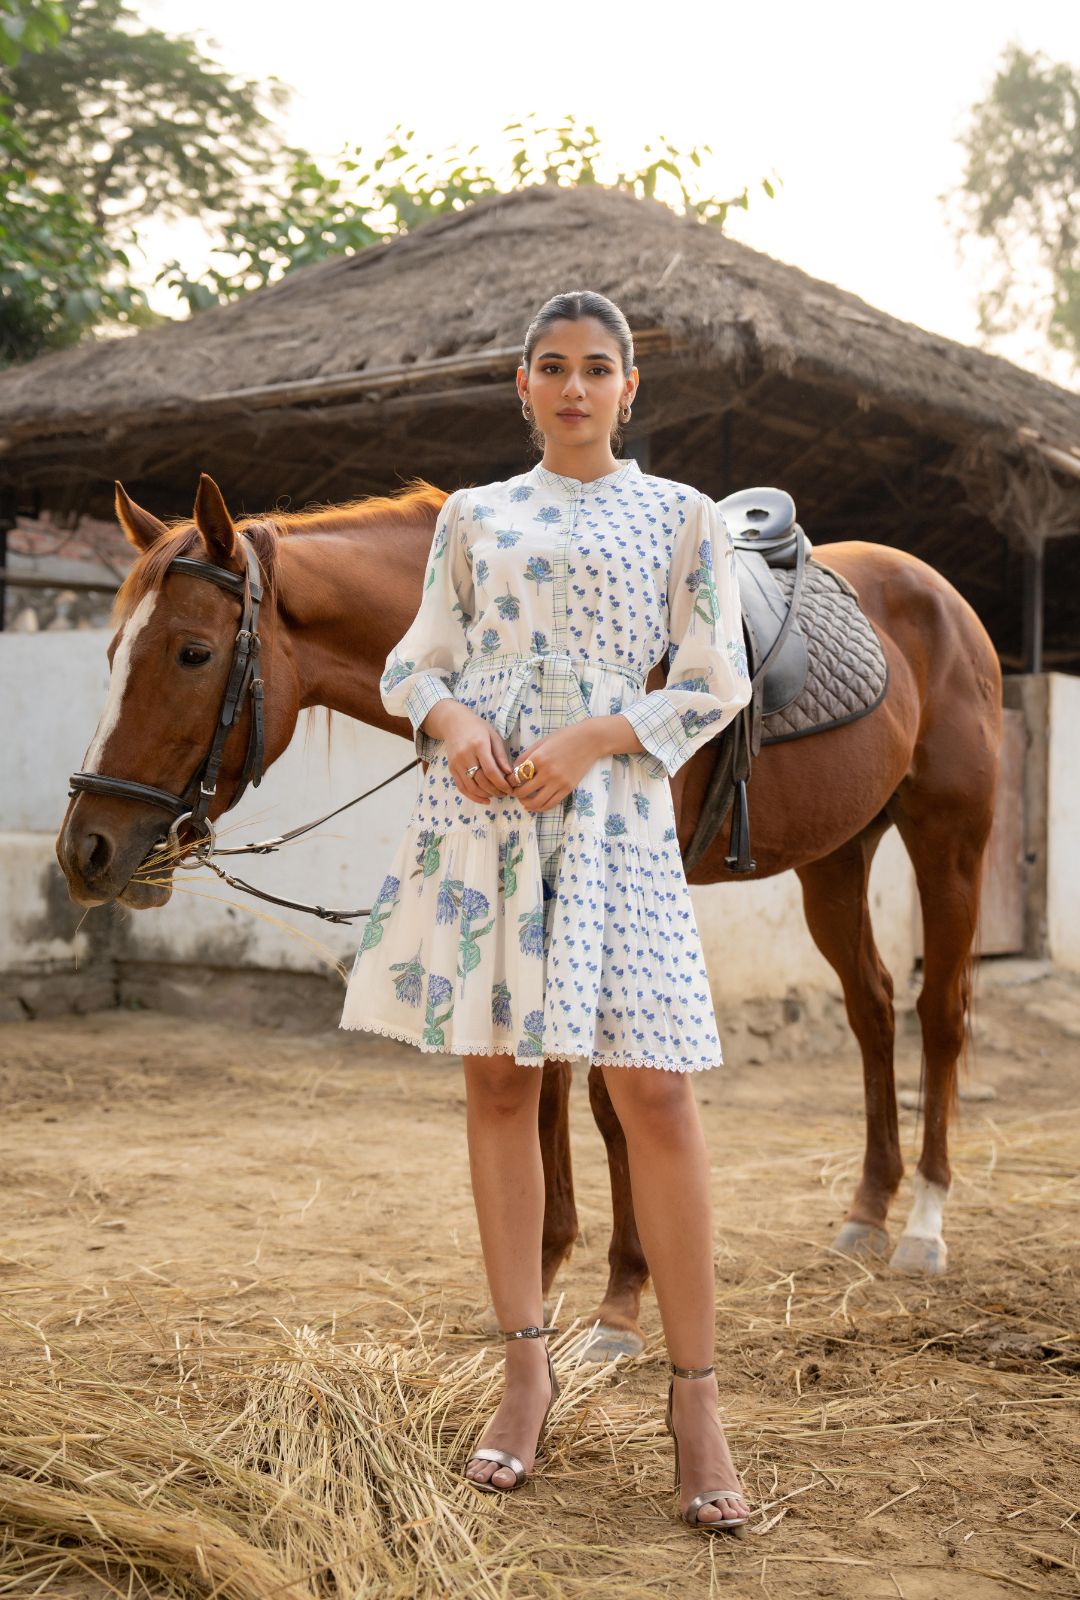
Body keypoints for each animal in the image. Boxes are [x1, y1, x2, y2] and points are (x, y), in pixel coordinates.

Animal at [59, 467, 1004, 1356]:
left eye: (191, 652)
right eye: (108, 652)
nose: (86, 850)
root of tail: (945, 598)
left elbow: (611, 1106)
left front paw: (621, 1304)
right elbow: (545, 1082)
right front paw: (537, 1281)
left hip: (949, 841)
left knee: (939, 1014)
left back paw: (923, 1226)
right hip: (837, 858)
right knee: (874, 1006)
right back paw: (867, 1212)